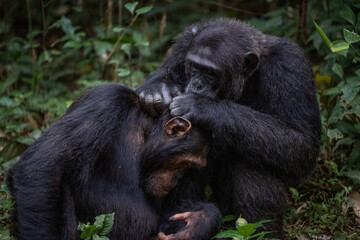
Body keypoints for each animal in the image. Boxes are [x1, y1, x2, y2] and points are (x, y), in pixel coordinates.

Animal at [7, 83, 222, 239]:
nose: (178, 177)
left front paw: (198, 223)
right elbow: (43, 164)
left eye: (191, 167)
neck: (145, 130)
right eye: (185, 163)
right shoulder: (107, 102)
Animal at [137, 18, 320, 236]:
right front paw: (157, 90)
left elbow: (300, 142)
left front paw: (202, 107)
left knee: (253, 158)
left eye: (210, 72)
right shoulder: (184, 44)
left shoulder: (291, 66)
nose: (196, 84)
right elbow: (169, 72)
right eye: (194, 66)